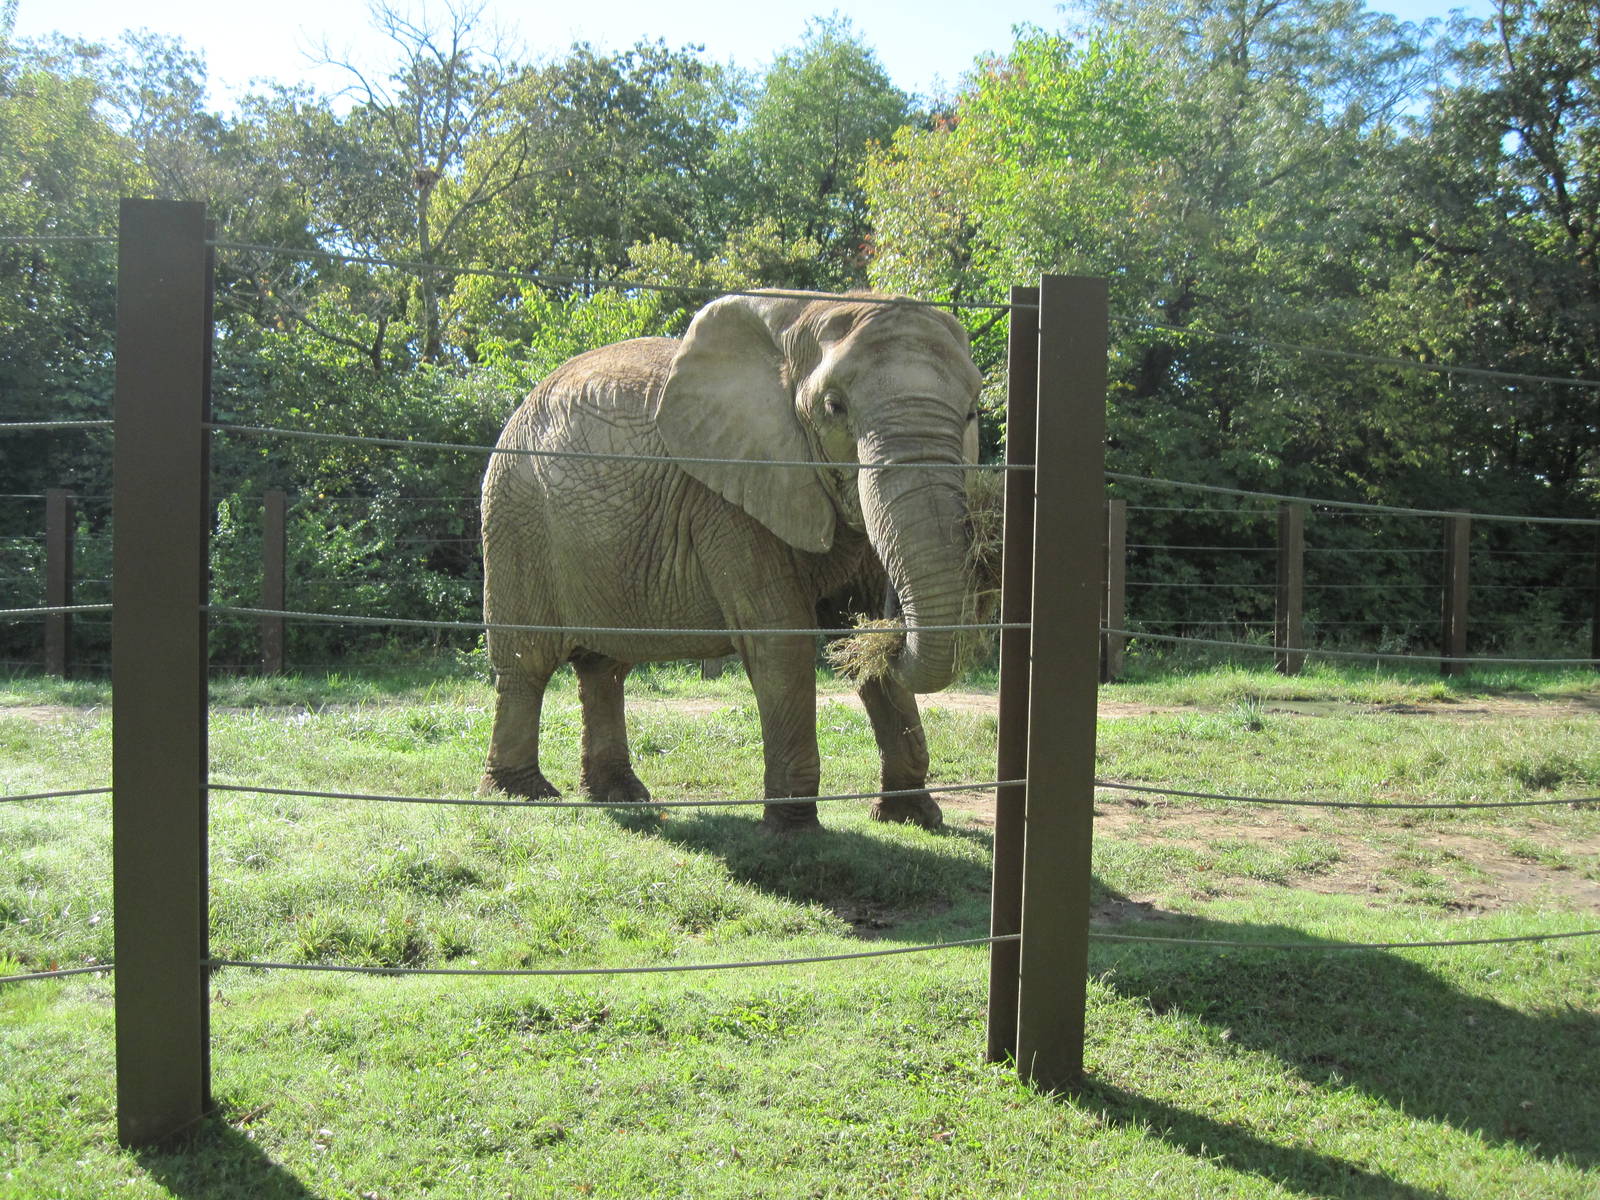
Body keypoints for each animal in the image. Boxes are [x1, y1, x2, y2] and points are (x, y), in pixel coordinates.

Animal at [479, 289, 983, 832]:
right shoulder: (728, 497)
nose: (896, 632)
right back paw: (523, 794)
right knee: (526, 661)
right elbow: (780, 639)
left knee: (604, 667)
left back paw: (622, 797)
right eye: (834, 407)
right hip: (516, 517)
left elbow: (850, 631)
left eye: (972, 413)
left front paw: (913, 817)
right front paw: (793, 832)